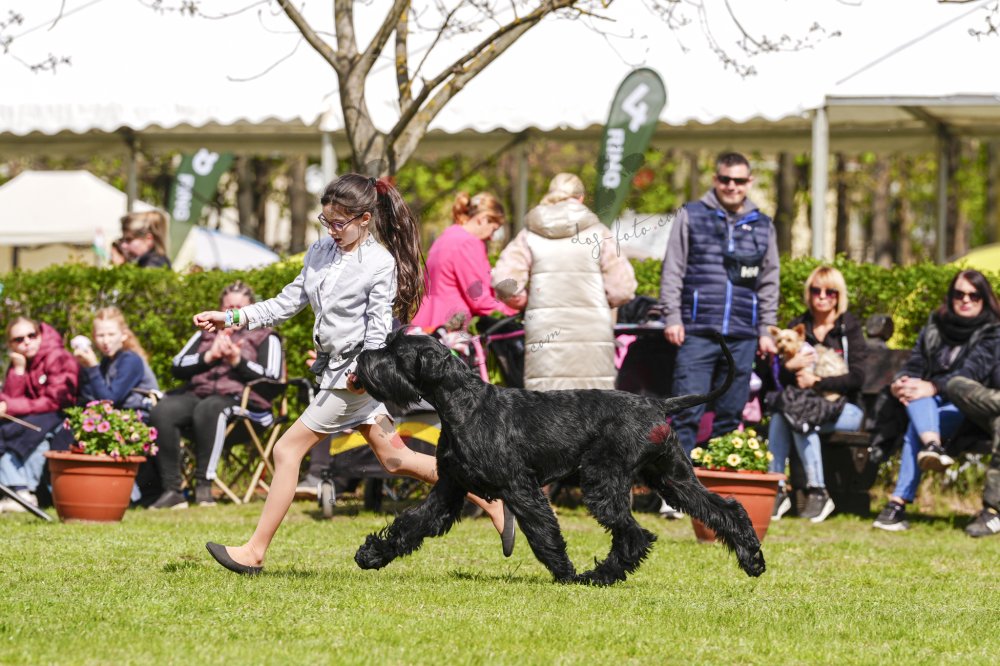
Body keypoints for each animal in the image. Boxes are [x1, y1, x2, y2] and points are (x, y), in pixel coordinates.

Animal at [350, 329, 765, 586]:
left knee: (634, 534)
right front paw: (372, 554)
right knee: (725, 509)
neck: (463, 404)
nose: (361, 356)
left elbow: (542, 531)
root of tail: (657, 403)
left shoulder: (520, 488)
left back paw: (597, 577)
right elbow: (412, 524)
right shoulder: (449, 488)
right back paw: (753, 560)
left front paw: (563, 572)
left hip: (603, 483)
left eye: (395, 353)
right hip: (673, 479)